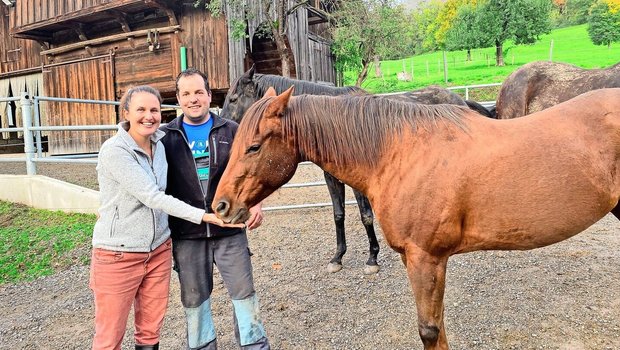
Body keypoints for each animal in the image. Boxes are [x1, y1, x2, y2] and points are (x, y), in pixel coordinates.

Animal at [212, 86, 620, 348]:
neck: (397, 152)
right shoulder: (421, 260)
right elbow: (437, 328)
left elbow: (429, 330)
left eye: (253, 146)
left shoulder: (426, 259)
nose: (221, 206)